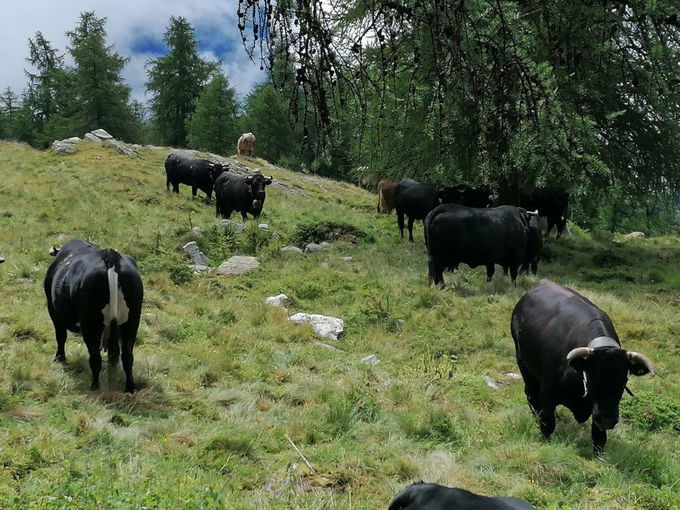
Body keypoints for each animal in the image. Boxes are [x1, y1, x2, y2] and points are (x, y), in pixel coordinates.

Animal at [44, 240, 145, 394]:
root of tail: (111, 256)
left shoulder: (53, 310)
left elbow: (60, 336)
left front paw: (59, 358)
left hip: (91, 324)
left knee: (95, 358)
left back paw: (94, 386)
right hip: (131, 322)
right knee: (127, 357)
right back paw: (129, 388)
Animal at [510, 280, 652, 452]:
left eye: (624, 380)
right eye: (592, 378)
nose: (608, 419)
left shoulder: (596, 411)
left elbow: (599, 437)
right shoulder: (548, 395)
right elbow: (547, 425)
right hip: (523, 363)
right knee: (531, 395)